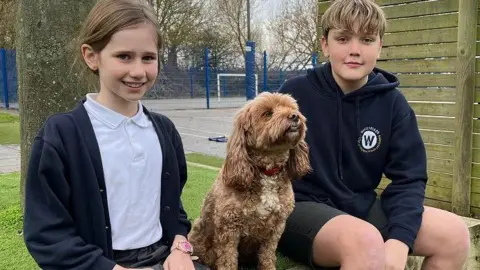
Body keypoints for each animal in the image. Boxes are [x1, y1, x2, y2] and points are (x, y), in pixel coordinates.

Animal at [188, 92, 312, 268]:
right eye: (268, 113)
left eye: (291, 108)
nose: (294, 116)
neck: (267, 171)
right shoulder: (229, 229)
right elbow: (228, 261)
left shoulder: (276, 229)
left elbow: (267, 257)